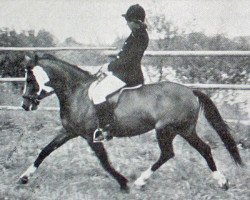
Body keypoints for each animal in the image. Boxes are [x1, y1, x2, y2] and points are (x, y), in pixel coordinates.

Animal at [19, 54, 242, 191]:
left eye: (30, 80)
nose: (25, 105)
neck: (77, 92)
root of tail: (190, 91)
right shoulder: (69, 131)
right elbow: (45, 150)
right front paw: (24, 177)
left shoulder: (91, 136)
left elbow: (104, 161)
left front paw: (123, 183)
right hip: (180, 130)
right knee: (191, 151)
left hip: (170, 130)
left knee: (177, 152)